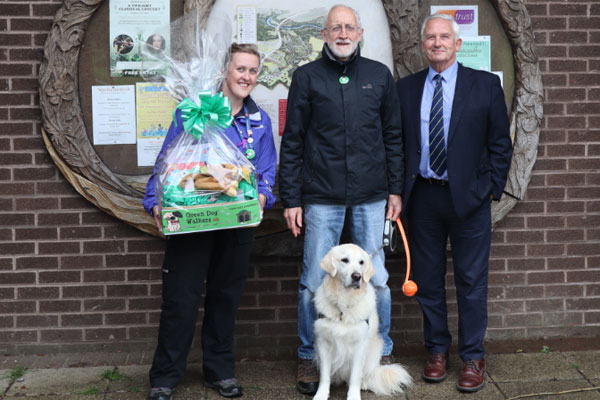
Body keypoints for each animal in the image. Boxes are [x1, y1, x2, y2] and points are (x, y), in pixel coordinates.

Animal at [314, 244, 412, 400]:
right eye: (344, 260)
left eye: (361, 262)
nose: (357, 276)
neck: (344, 305)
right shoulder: (323, 343)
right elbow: (324, 375)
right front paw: (321, 394)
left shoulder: (359, 346)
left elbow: (355, 375)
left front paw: (353, 396)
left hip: (374, 350)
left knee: (366, 374)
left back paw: (364, 383)